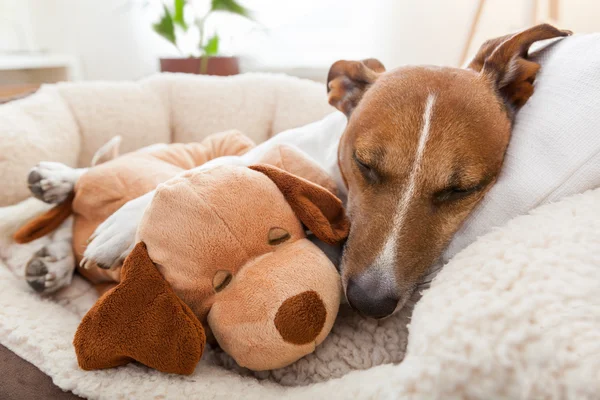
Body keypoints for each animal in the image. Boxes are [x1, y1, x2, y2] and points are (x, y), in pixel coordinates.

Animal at [18, 24, 568, 318]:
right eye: (364, 164)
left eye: (462, 189)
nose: (369, 303)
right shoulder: (264, 150)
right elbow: (189, 180)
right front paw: (119, 228)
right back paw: (58, 186)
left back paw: (54, 257)